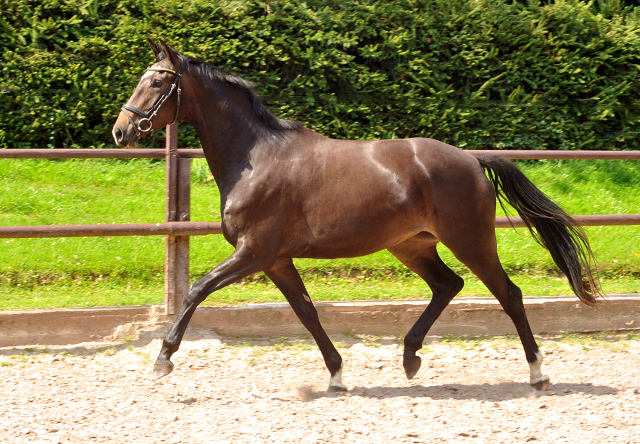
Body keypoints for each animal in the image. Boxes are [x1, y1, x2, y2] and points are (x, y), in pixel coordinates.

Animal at [111, 39, 600, 392]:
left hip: (471, 241)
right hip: (412, 245)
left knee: (509, 295)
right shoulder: (277, 260)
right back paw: (410, 357)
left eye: (157, 83)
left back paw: (538, 374)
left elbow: (196, 290)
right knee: (449, 285)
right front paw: (336, 375)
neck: (256, 159)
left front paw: (163, 360)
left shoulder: (255, 252)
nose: (121, 130)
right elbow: (307, 313)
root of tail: (472, 159)